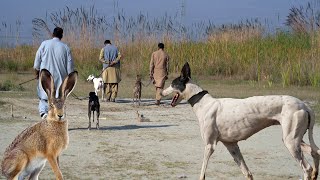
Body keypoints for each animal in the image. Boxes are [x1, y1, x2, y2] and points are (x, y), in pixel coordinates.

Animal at [162, 62, 320, 180]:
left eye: (172, 84)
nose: (161, 92)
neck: (203, 102)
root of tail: (304, 105)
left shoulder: (209, 145)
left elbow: (202, 173)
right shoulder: (232, 145)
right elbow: (247, 173)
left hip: (291, 142)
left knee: (307, 168)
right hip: (295, 139)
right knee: (315, 152)